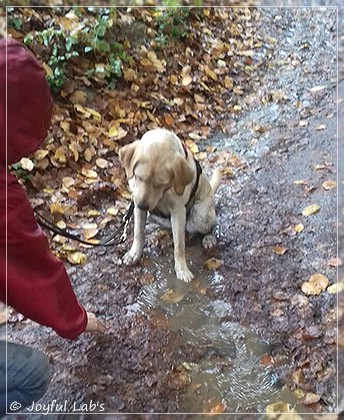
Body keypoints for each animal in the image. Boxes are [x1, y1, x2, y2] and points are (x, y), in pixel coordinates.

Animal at [119, 127, 222, 278]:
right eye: (139, 177)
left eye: (160, 184)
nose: (143, 205)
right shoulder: (137, 205)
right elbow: (138, 233)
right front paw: (134, 254)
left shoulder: (178, 210)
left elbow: (179, 245)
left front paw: (182, 269)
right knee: (162, 224)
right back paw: (153, 227)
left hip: (201, 214)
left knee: (211, 225)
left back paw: (209, 237)